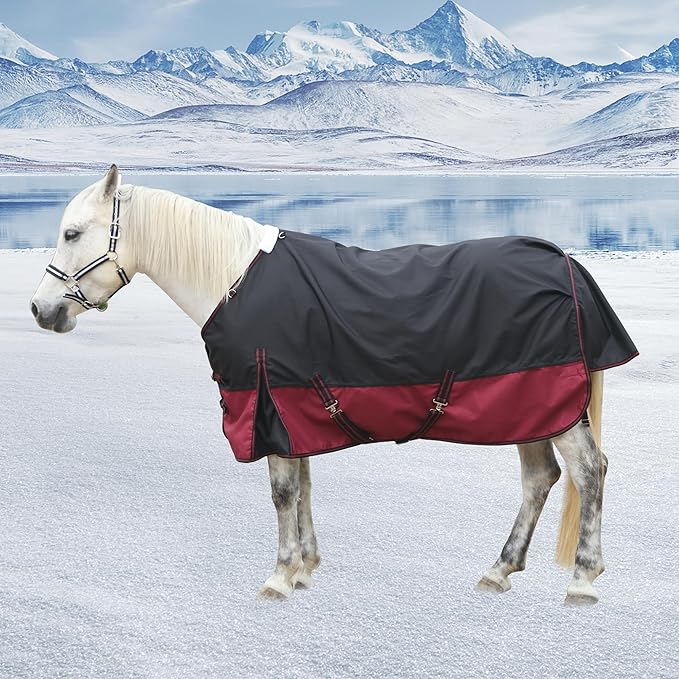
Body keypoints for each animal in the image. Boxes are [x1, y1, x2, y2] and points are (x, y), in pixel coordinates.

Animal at [30, 165, 631, 605]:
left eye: (72, 233)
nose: (41, 309)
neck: (233, 281)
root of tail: (567, 264)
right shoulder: (289, 410)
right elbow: (303, 487)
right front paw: (304, 568)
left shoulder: (268, 405)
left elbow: (282, 492)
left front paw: (278, 577)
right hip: (531, 409)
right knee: (540, 479)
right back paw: (499, 570)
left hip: (551, 406)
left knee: (587, 472)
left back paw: (581, 580)